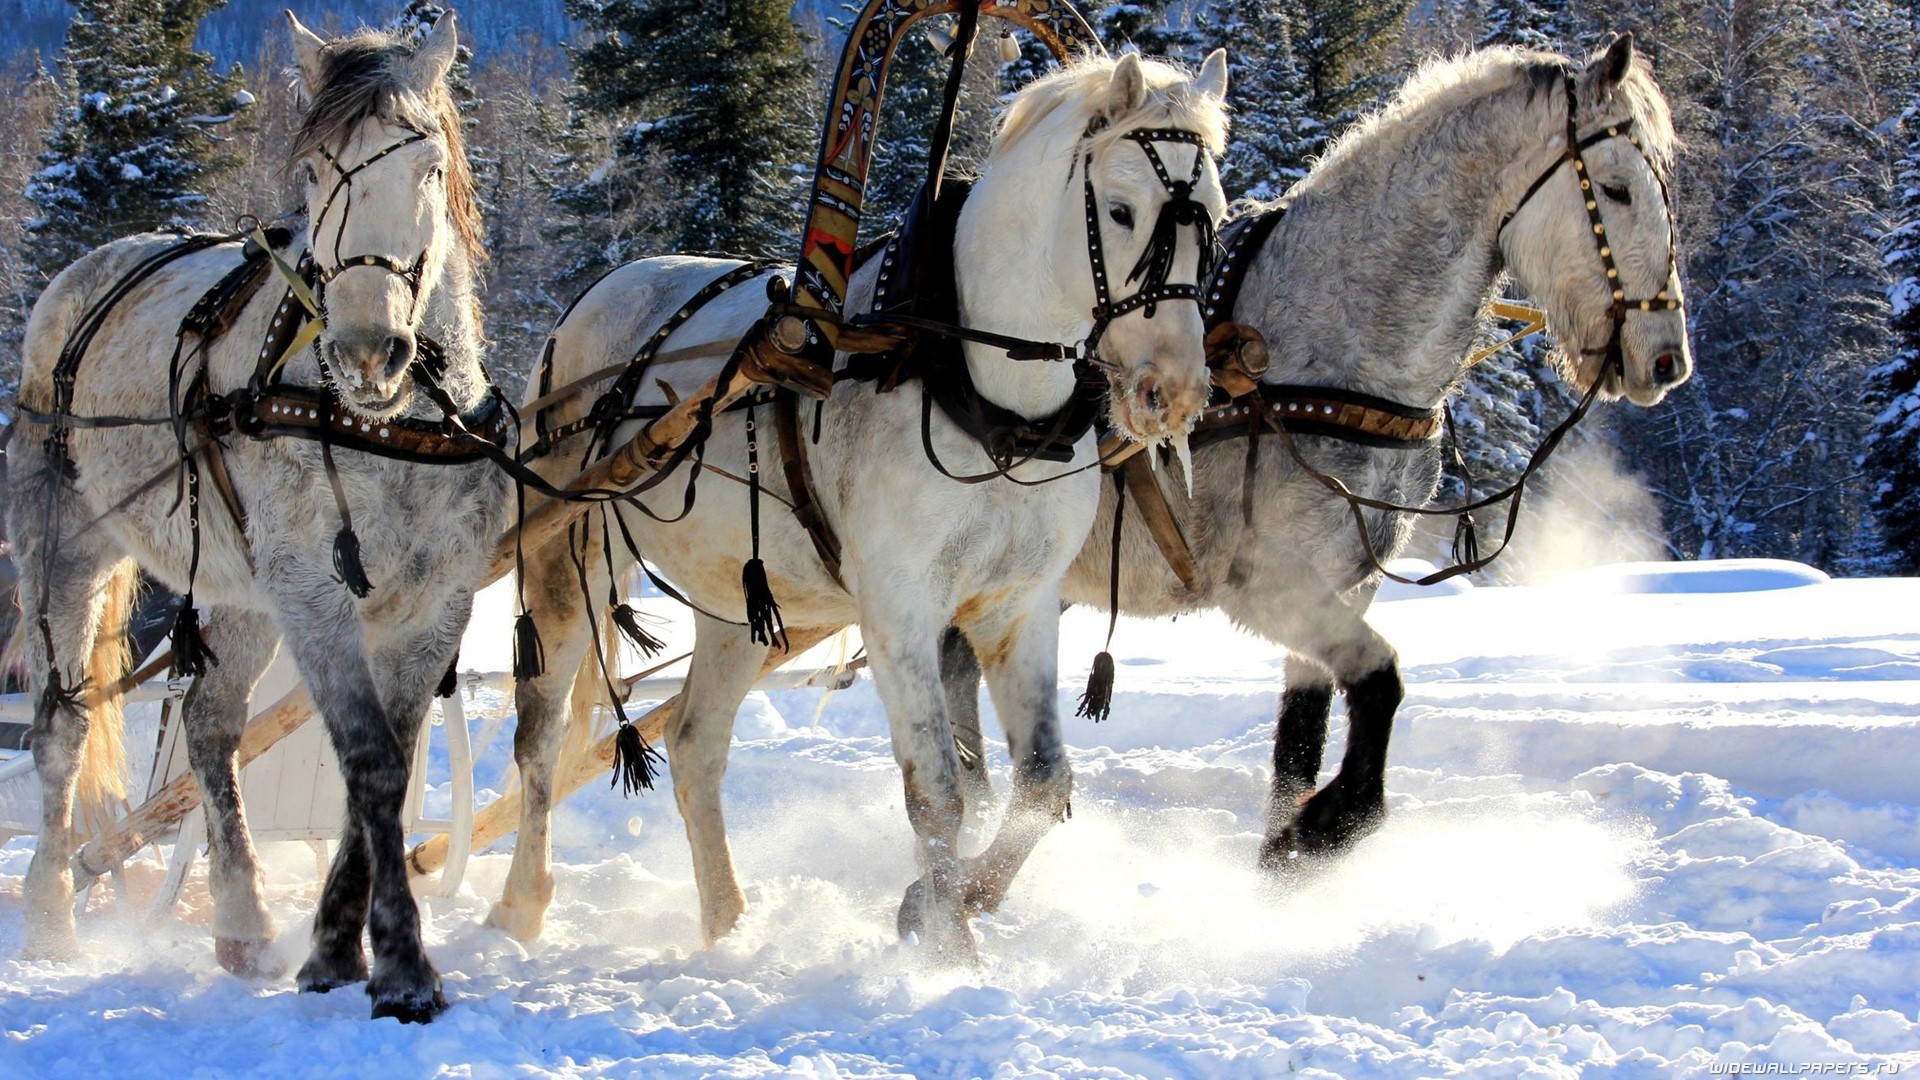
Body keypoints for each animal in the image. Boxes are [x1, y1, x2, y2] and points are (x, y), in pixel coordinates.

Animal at [7, 18, 503, 1022]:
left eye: (428, 164)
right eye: (314, 169)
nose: (366, 349)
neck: (386, 422)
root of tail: (84, 274)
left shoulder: (434, 601)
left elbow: (382, 765)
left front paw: (333, 948)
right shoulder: (313, 589)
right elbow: (370, 759)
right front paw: (399, 965)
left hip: (234, 587)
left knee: (208, 723)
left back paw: (240, 923)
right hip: (61, 550)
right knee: (60, 732)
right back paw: (49, 916)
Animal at [499, 50, 1228, 960]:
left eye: (1216, 219)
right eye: (1123, 211)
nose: (1176, 391)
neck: (985, 399)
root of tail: (595, 295)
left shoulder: (1018, 607)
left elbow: (1041, 783)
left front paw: (961, 899)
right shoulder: (900, 610)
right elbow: (939, 792)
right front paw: (949, 948)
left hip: (737, 603)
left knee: (696, 746)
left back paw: (727, 921)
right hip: (568, 562)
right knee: (538, 740)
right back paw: (521, 908)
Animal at [944, 35, 1697, 864]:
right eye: (1618, 189)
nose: (1666, 358)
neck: (1331, 346)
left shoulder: (1345, 581)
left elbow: (1300, 744)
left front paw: (1283, 856)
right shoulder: (1267, 583)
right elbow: (1380, 683)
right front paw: (1331, 823)